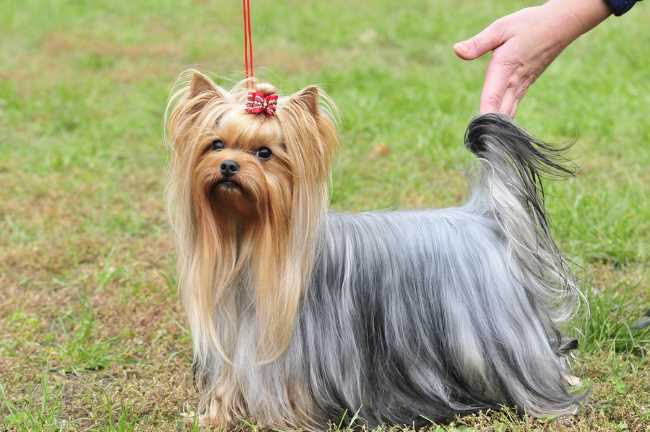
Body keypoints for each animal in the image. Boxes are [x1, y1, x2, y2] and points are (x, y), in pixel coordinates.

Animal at [165, 71, 580, 428]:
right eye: (216, 144)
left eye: (264, 153)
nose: (228, 166)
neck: (248, 237)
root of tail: (482, 215)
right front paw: (215, 416)